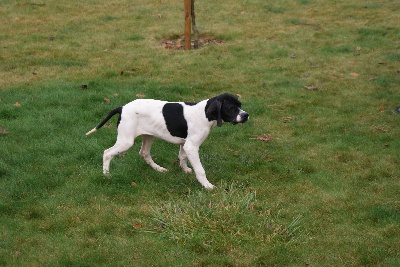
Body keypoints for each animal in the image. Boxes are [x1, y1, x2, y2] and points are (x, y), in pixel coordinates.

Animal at [86, 93, 248, 189]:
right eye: (231, 107)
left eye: (240, 105)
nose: (246, 115)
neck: (204, 113)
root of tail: (123, 107)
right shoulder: (191, 146)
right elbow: (200, 170)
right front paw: (207, 185)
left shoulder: (185, 144)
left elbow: (182, 157)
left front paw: (185, 170)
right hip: (126, 141)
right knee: (107, 153)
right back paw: (106, 175)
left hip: (149, 136)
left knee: (144, 153)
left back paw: (159, 169)